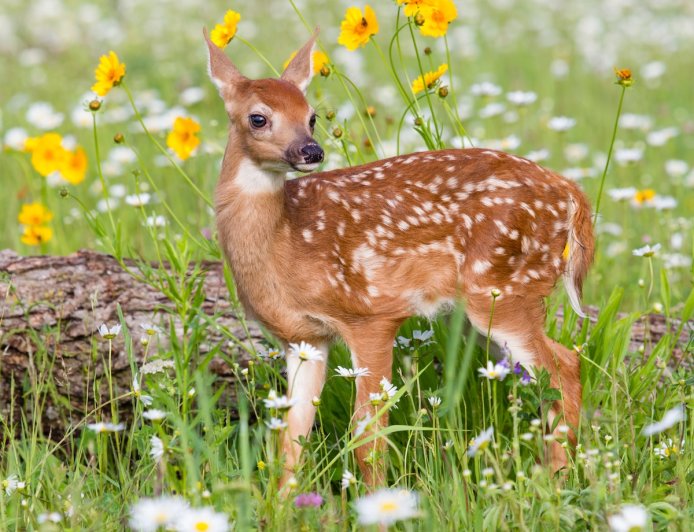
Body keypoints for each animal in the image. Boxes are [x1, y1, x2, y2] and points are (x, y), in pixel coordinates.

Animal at [204, 29, 594, 486]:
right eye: (258, 118)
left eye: (311, 115)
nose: (311, 150)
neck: (286, 243)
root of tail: (569, 191)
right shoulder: (304, 339)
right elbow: (291, 439)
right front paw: (282, 501)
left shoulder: (371, 314)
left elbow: (367, 436)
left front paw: (376, 498)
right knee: (558, 366)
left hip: (504, 288)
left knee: (564, 367)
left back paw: (558, 481)